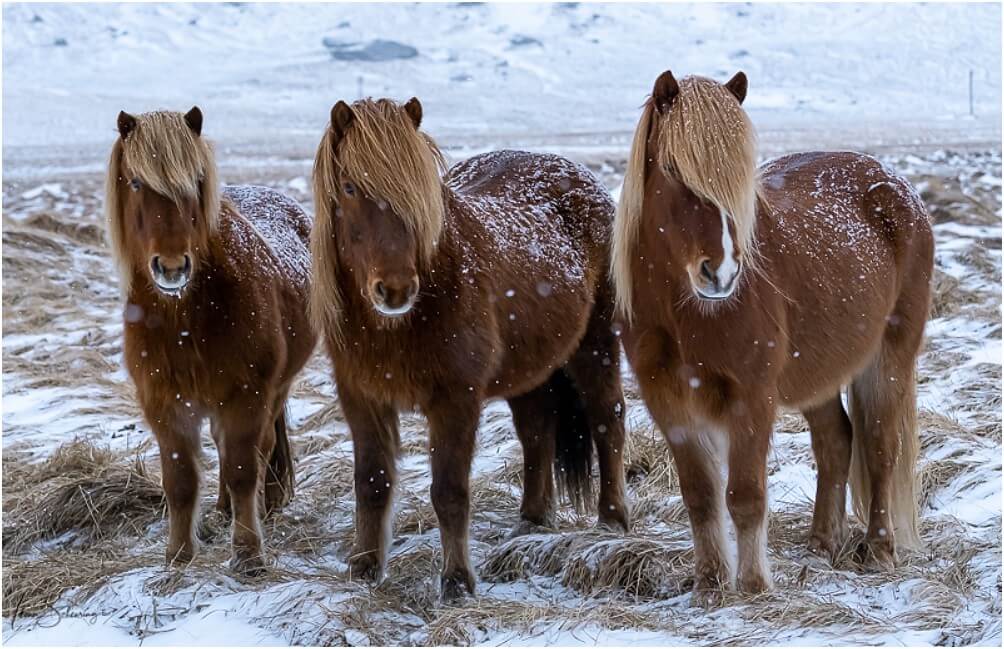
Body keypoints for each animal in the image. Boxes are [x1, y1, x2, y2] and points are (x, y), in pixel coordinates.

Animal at [105, 109, 313, 578]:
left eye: (197, 180)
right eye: (136, 182)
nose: (172, 267)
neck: (186, 317)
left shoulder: (246, 396)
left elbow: (242, 470)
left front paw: (249, 554)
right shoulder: (164, 404)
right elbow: (180, 482)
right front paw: (178, 557)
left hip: (275, 389)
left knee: (259, 451)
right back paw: (221, 511)